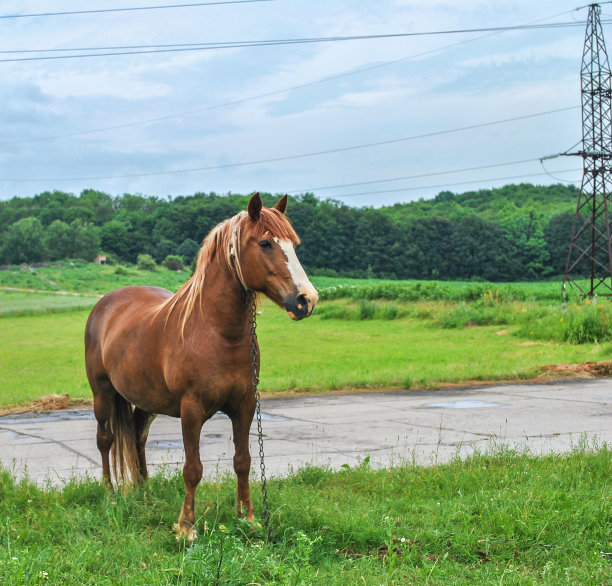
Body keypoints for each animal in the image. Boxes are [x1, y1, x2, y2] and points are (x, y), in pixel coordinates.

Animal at [84, 193, 318, 540]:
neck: (217, 333)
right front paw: (186, 527)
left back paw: (143, 489)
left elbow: (243, 461)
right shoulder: (191, 410)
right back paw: (110, 494)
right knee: (105, 439)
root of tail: (106, 303)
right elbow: (193, 469)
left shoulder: (245, 406)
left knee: (137, 436)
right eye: (265, 243)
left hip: (147, 401)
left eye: (294, 244)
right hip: (102, 393)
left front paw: (247, 518)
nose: (307, 300)